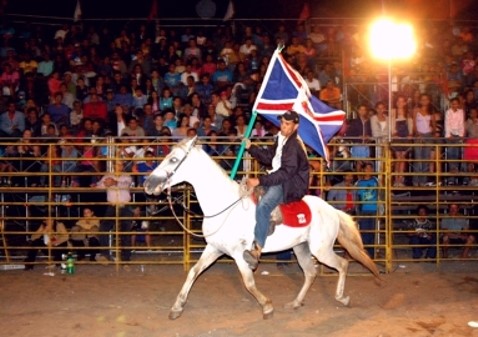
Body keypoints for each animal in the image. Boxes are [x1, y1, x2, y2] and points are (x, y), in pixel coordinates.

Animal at [144, 136, 380, 318]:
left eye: (174, 159)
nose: (148, 184)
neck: (225, 205)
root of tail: (332, 211)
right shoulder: (215, 248)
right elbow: (193, 271)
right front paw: (177, 307)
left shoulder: (239, 254)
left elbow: (248, 282)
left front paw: (267, 306)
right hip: (301, 248)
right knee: (310, 272)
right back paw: (296, 302)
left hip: (320, 249)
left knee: (342, 264)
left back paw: (342, 298)